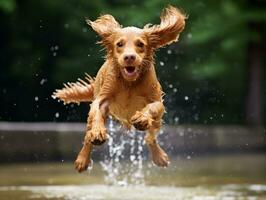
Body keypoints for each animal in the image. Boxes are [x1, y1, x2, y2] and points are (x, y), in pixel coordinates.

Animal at [52, 5, 185, 173]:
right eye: (119, 44)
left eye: (140, 44)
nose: (129, 57)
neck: (129, 83)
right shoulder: (102, 99)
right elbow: (97, 113)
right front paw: (98, 132)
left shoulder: (156, 100)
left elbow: (152, 107)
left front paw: (142, 118)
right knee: (87, 137)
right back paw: (83, 159)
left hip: (157, 123)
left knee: (150, 137)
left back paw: (158, 155)